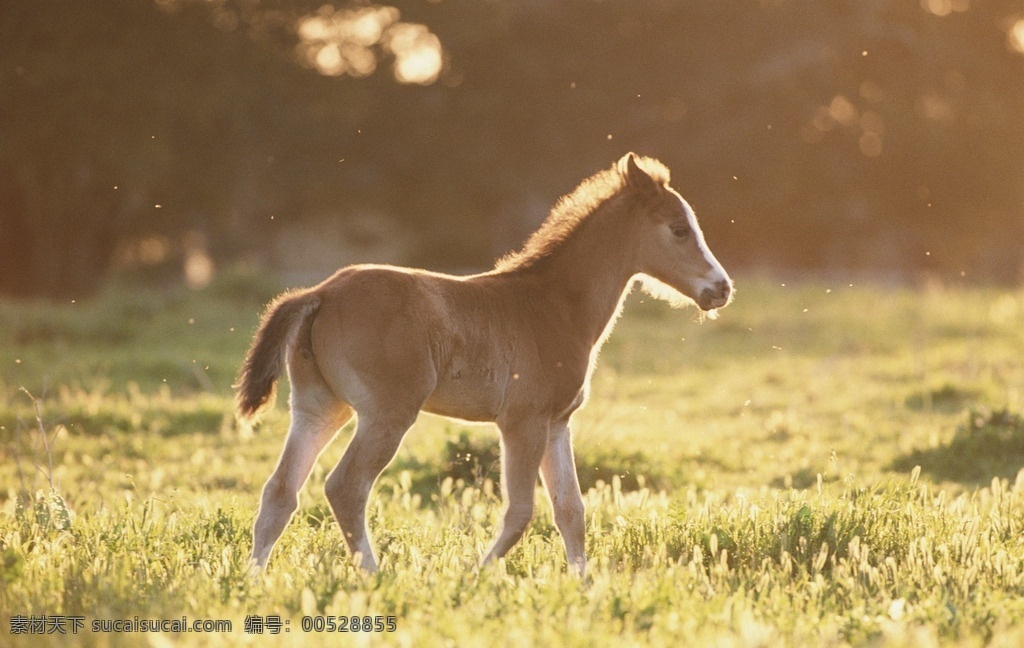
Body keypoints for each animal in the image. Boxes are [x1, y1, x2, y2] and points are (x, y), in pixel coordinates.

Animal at [236, 153, 732, 576]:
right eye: (679, 229)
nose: (721, 288)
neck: (554, 306)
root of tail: (320, 293)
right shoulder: (522, 422)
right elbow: (521, 511)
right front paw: (475, 575)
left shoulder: (557, 423)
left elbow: (571, 510)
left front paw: (584, 586)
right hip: (387, 414)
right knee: (345, 487)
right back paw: (373, 575)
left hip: (319, 408)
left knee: (280, 491)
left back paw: (254, 579)